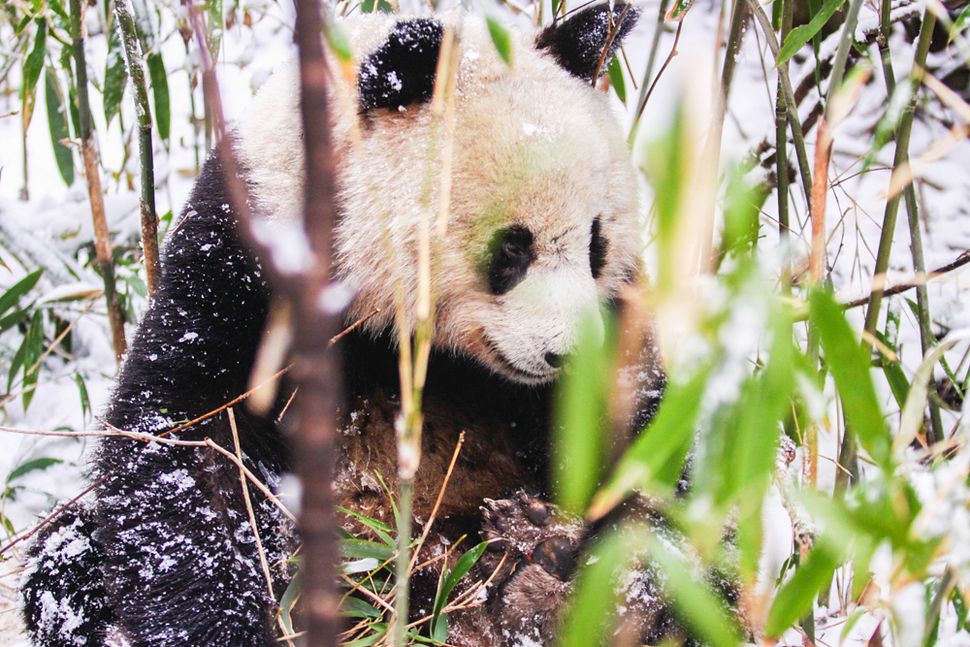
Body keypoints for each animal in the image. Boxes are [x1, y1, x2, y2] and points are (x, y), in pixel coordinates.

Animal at [17, 6, 672, 647]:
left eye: (595, 243)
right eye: (511, 248)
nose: (570, 353)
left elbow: (637, 440)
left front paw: (623, 581)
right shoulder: (242, 259)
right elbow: (185, 442)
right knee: (63, 563)